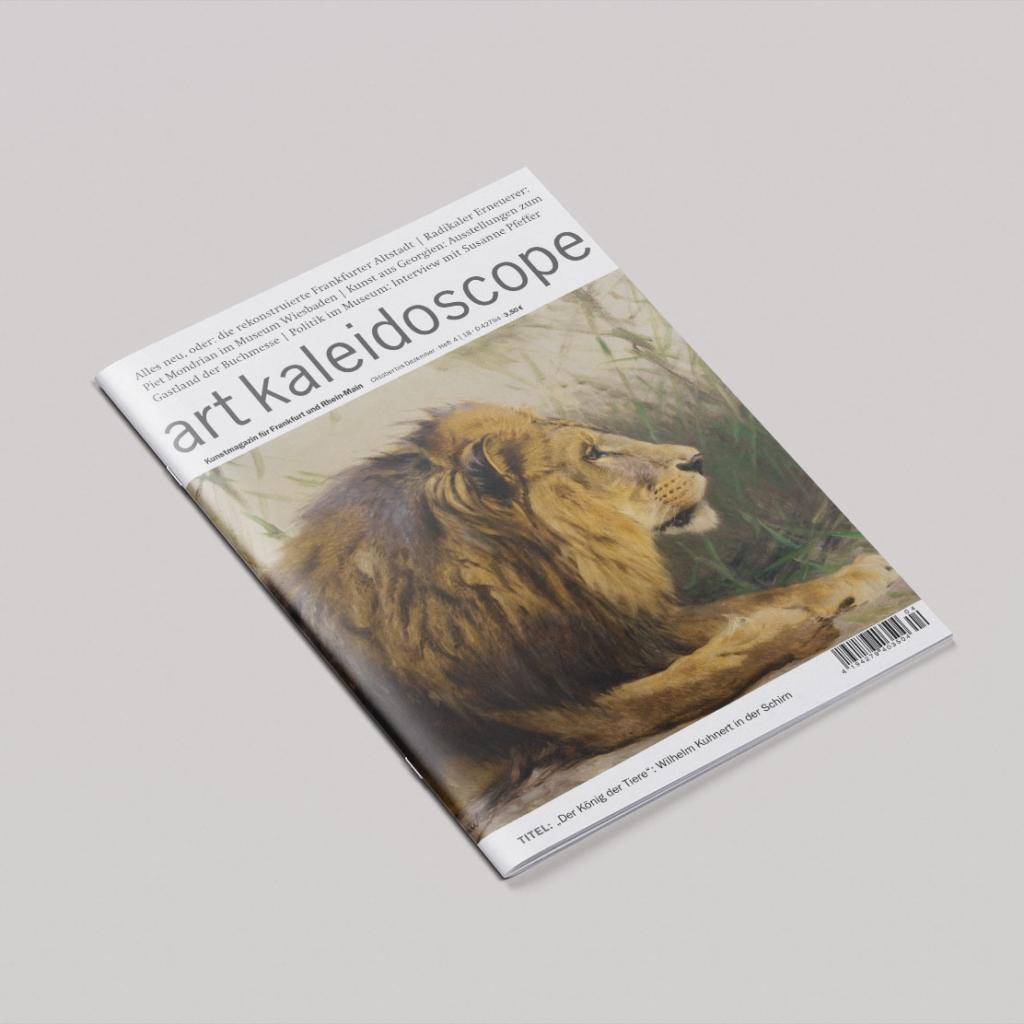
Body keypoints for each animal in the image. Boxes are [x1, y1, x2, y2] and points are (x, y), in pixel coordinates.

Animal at [272, 404, 897, 836]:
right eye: (593, 454)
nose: (697, 458)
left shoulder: (617, 637)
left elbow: (739, 605)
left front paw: (859, 575)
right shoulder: (554, 719)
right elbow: (685, 681)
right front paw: (785, 626)